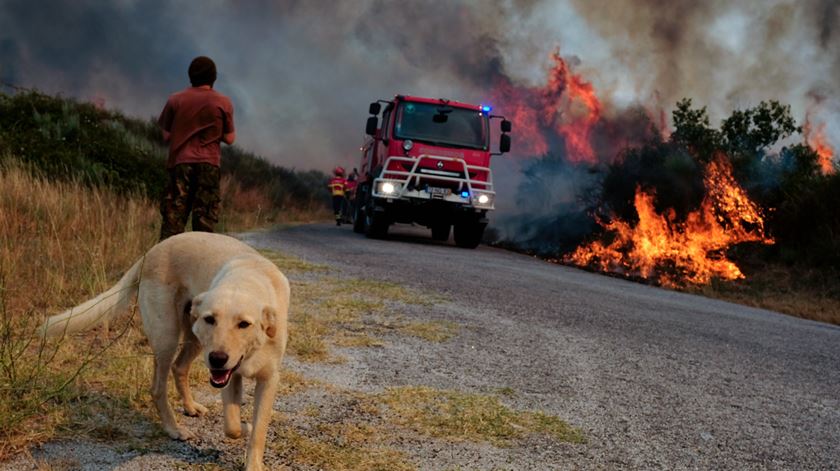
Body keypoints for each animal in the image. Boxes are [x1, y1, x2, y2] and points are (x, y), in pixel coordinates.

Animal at [41, 233, 288, 471]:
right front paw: (246, 426)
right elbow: (233, 426)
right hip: (168, 337)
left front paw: (253, 460)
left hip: (195, 340)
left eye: (244, 324)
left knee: (179, 367)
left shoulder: (265, 379)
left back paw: (190, 407)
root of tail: (151, 251)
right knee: (158, 388)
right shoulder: (229, 376)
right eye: (210, 319)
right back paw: (174, 429)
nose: (217, 359)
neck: (248, 279)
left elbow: (257, 429)